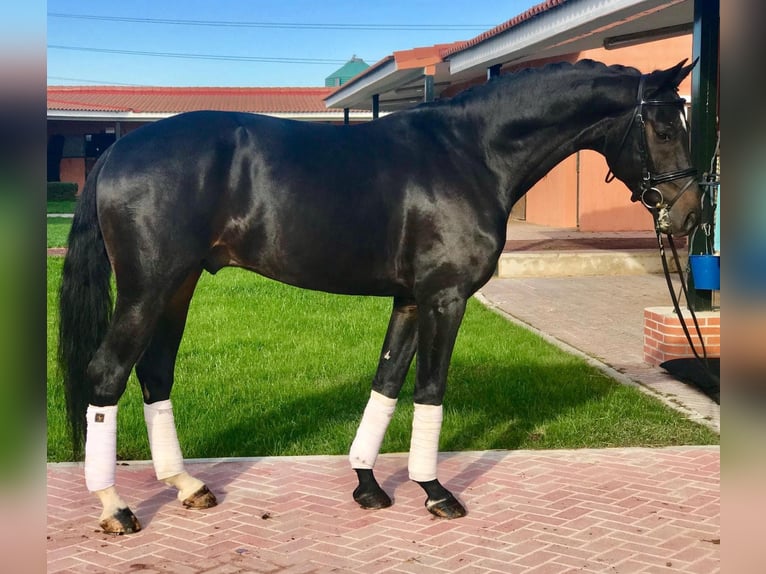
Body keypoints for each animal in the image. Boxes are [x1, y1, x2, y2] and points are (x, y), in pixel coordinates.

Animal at [57, 59, 700, 536]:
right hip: (149, 287)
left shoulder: (411, 300)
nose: (691, 214)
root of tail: (117, 151)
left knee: (155, 373)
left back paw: (186, 486)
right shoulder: (445, 298)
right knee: (108, 373)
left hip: (178, 286)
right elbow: (430, 390)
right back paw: (115, 507)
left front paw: (368, 485)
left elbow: (387, 383)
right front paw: (436, 492)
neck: (470, 152)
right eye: (665, 129)